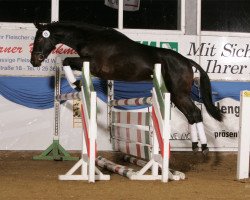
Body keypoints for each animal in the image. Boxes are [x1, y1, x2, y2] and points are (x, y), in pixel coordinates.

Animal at [30, 21, 224, 155]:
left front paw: (75, 83)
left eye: (39, 38)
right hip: (176, 95)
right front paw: (76, 83)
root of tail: (187, 61)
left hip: (179, 93)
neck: (90, 38)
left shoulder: (93, 65)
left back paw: (204, 147)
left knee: (195, 113)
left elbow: (66, 60)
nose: (34, 61)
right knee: (191, 115)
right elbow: (66, 61)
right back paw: (195, 146)